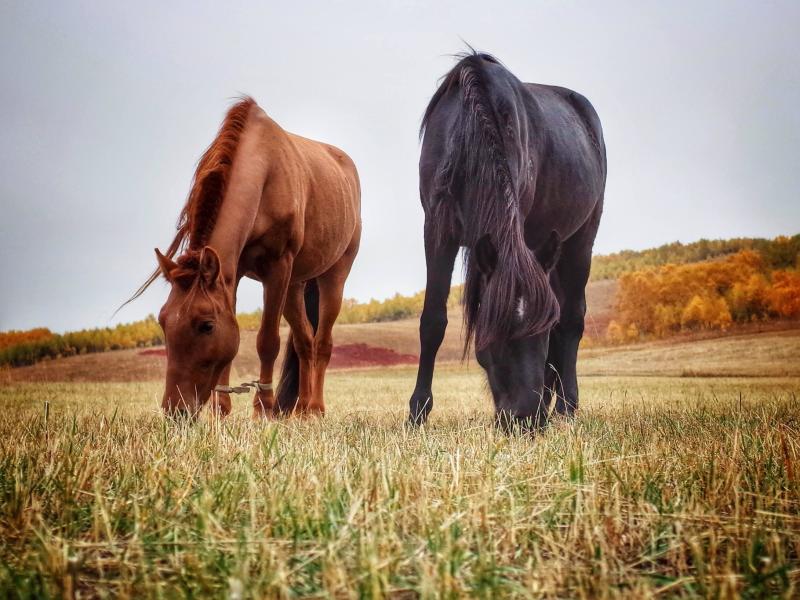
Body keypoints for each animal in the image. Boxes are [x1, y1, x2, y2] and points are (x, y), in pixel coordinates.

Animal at [130, 97, 362, 418]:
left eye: (206, 325)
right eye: (163, 321)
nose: (176, 410)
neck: (264, 170)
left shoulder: (277, 268)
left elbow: (267, 341)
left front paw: (263, 407)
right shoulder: (234, 271)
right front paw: (221, 408)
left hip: (333, 275)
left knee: (322, 342)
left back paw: (315, 408)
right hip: (295, 284)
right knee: (305, 341)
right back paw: (301, 409)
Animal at [406, 50, 608, 426]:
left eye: (540, 330)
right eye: (498, 330)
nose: (527, 418)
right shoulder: (438, 232)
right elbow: (433, 320)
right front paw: (417, 412)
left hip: (580, 241)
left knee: (573, 318)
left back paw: (565, 407)